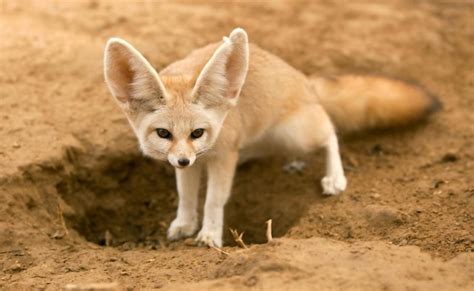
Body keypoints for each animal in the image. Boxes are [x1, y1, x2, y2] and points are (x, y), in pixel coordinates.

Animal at [103, 27, 440, 248]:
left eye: (197, 132)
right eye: (164, 133)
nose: (183, 160)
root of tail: (305, 80)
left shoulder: (222, 157)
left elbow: (213, 200)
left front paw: (210, 235)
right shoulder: (195, 163)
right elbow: (186, 196)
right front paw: (184, 224)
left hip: (297, 133)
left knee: (330, 130)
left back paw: (335, 177)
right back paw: (292, 162)